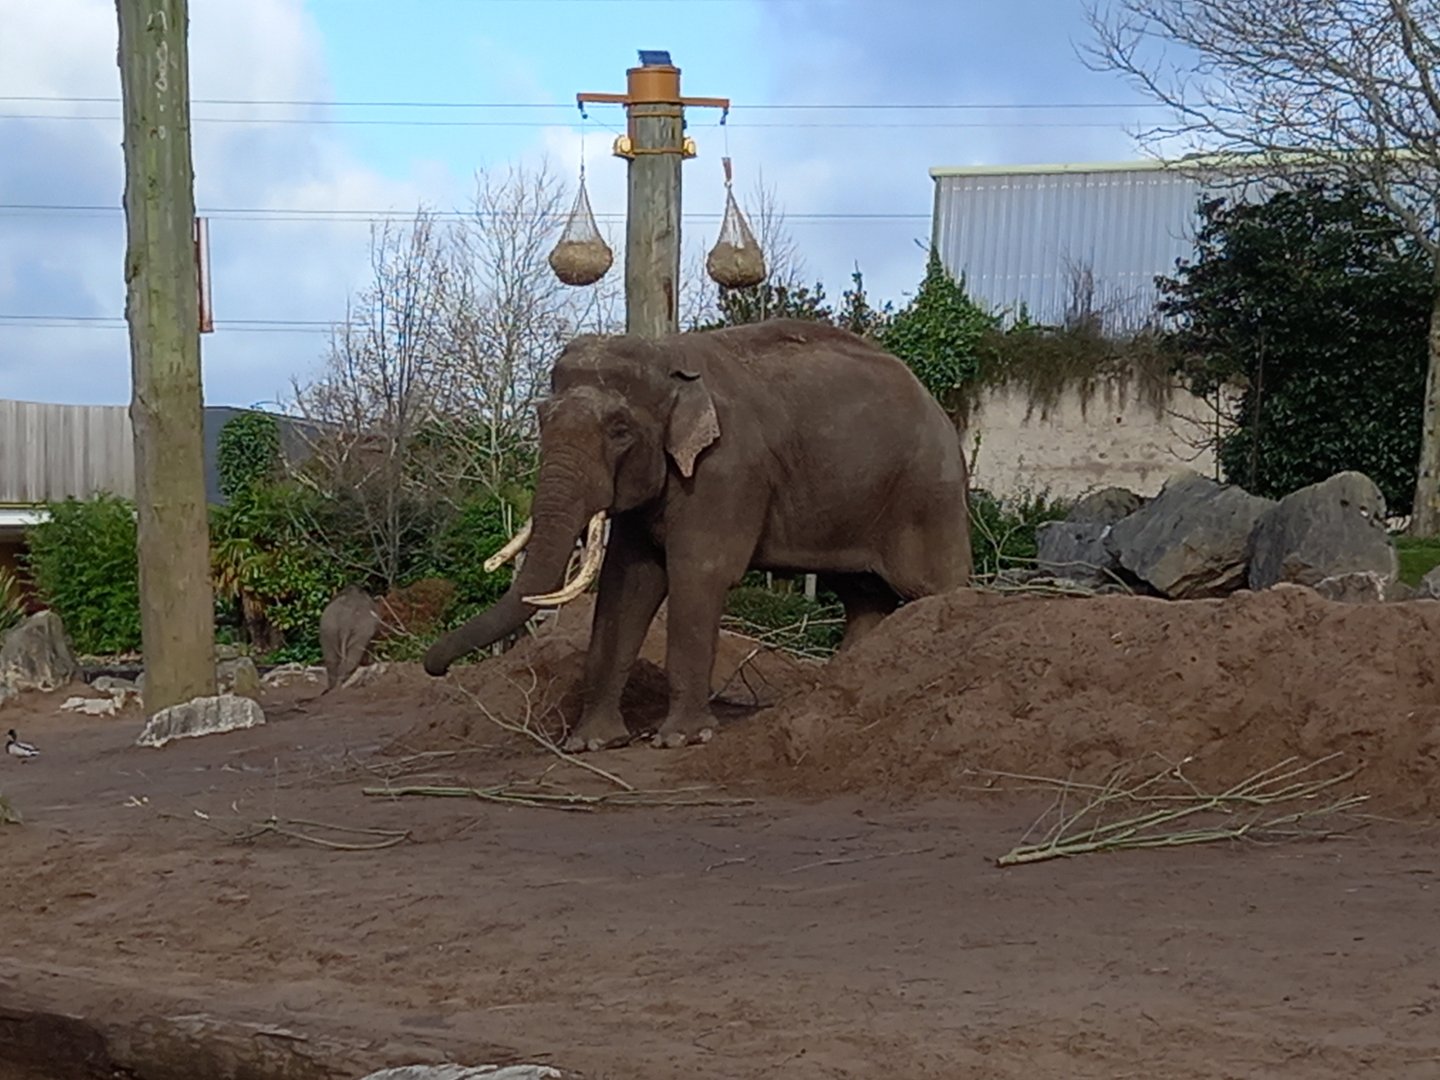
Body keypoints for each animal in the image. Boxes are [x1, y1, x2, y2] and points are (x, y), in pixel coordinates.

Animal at [422, 318, 973, 751]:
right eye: (541, 418)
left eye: (620, 430)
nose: (436, 669)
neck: (669, 357)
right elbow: (629, 582)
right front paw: (592, 743)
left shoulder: (725, 470)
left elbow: (699, 574)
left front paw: (681, 739)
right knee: (863, 597)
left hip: (931, 497)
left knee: (932, 589)